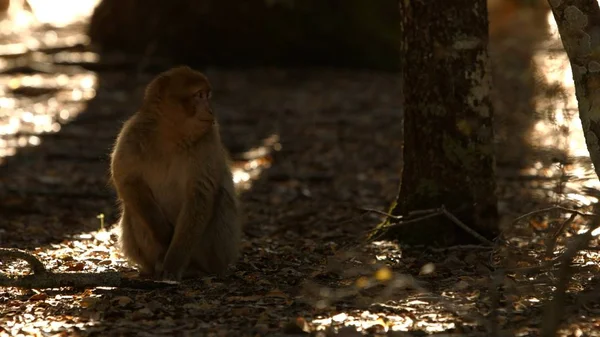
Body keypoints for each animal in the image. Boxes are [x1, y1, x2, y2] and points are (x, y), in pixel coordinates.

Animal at [110, 64, 241, 280]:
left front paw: (173, 262)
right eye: (199, 95)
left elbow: (200, 196)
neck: (171, 136)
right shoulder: (131, 134)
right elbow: (127, 181)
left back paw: (196, 269)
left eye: (207, 95)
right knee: (133, 209)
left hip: (217, 254)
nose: (210, 109)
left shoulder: (208, 141)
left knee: (221, 198)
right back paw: (154, 264)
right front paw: (163, 234)